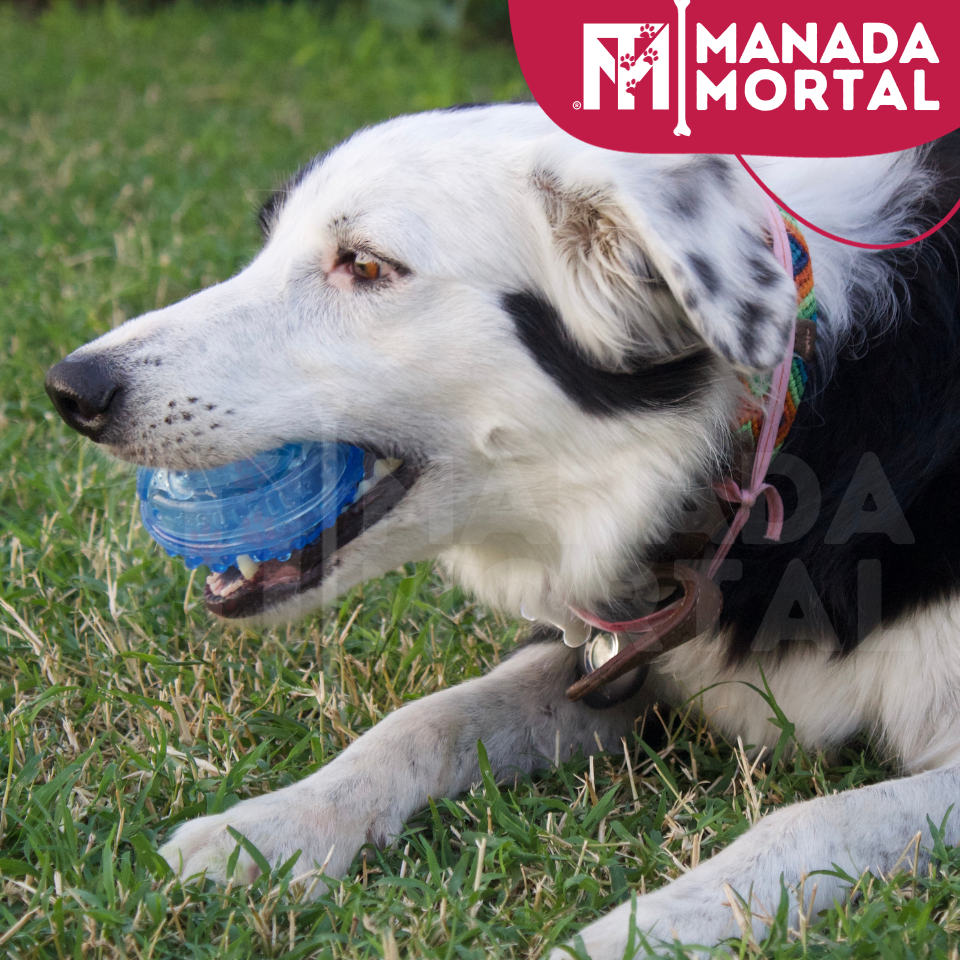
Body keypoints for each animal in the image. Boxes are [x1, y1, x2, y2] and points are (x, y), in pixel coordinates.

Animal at [45, 101, 960, 956]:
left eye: (366, 265)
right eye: (268, 244)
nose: (70, 389)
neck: (781, 428)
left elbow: (812, 820)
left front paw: (626, 936)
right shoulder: (615, 655)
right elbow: (424, 720)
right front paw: (270, 827)